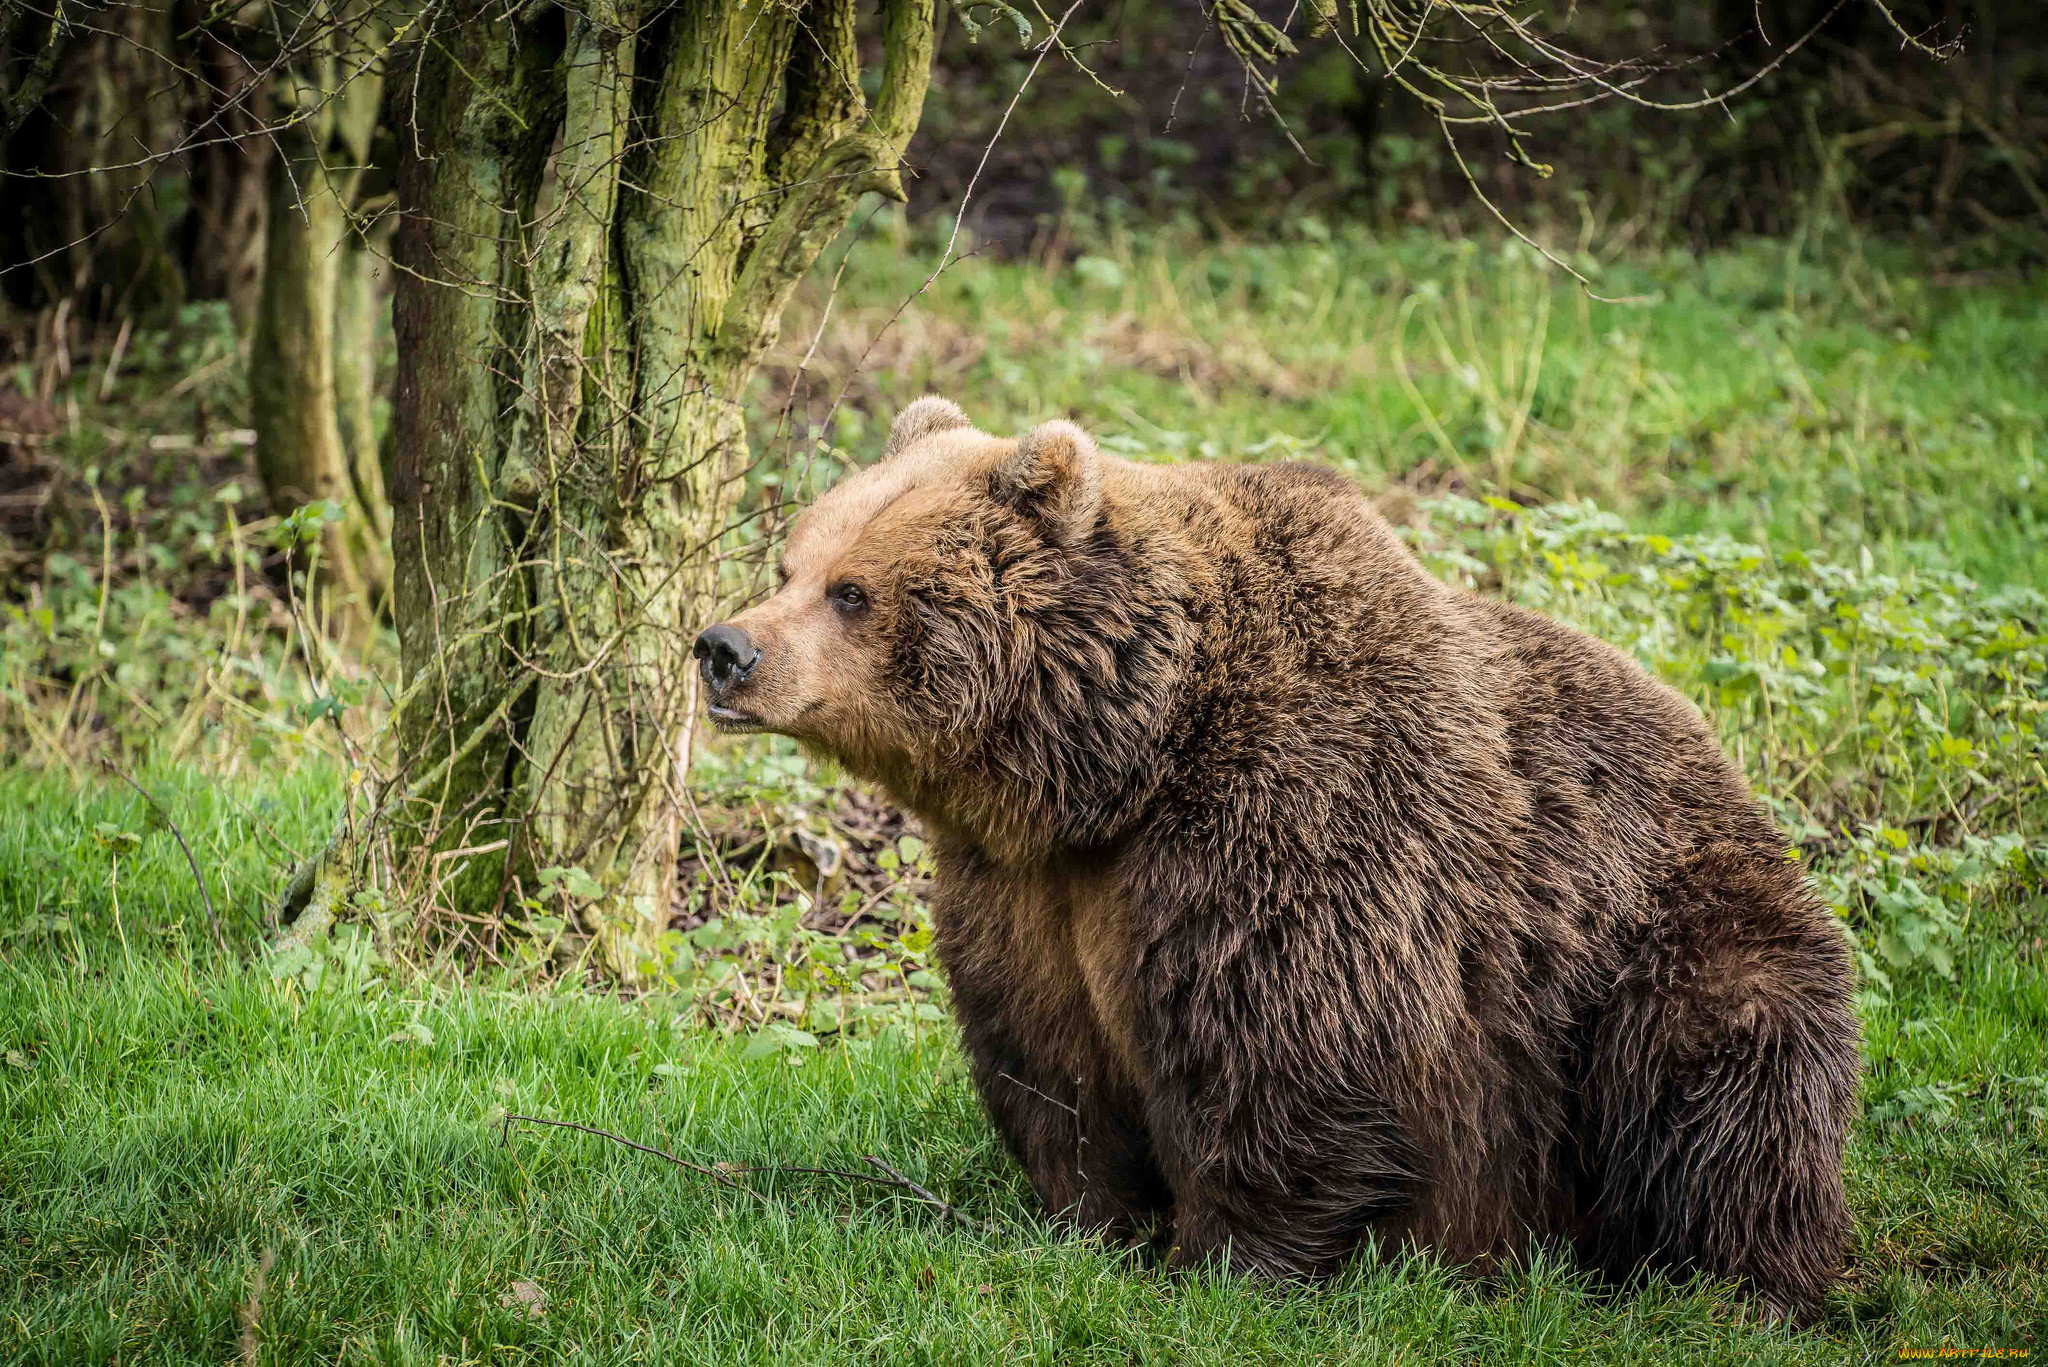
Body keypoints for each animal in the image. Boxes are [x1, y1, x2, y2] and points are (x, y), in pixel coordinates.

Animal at [696, 395, 1867, 1311]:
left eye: (853, 589)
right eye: (789, 560)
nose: (724, 647)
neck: (1119, 762)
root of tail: (1732, 774)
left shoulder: (1289, 822)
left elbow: (1280, 1054)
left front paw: (1225, 1261)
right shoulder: (1022, 892)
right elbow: (1049, 1060)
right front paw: (1087, 1222)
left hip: (1667, 939)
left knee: (1722, 1078)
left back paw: (1734, 1276)